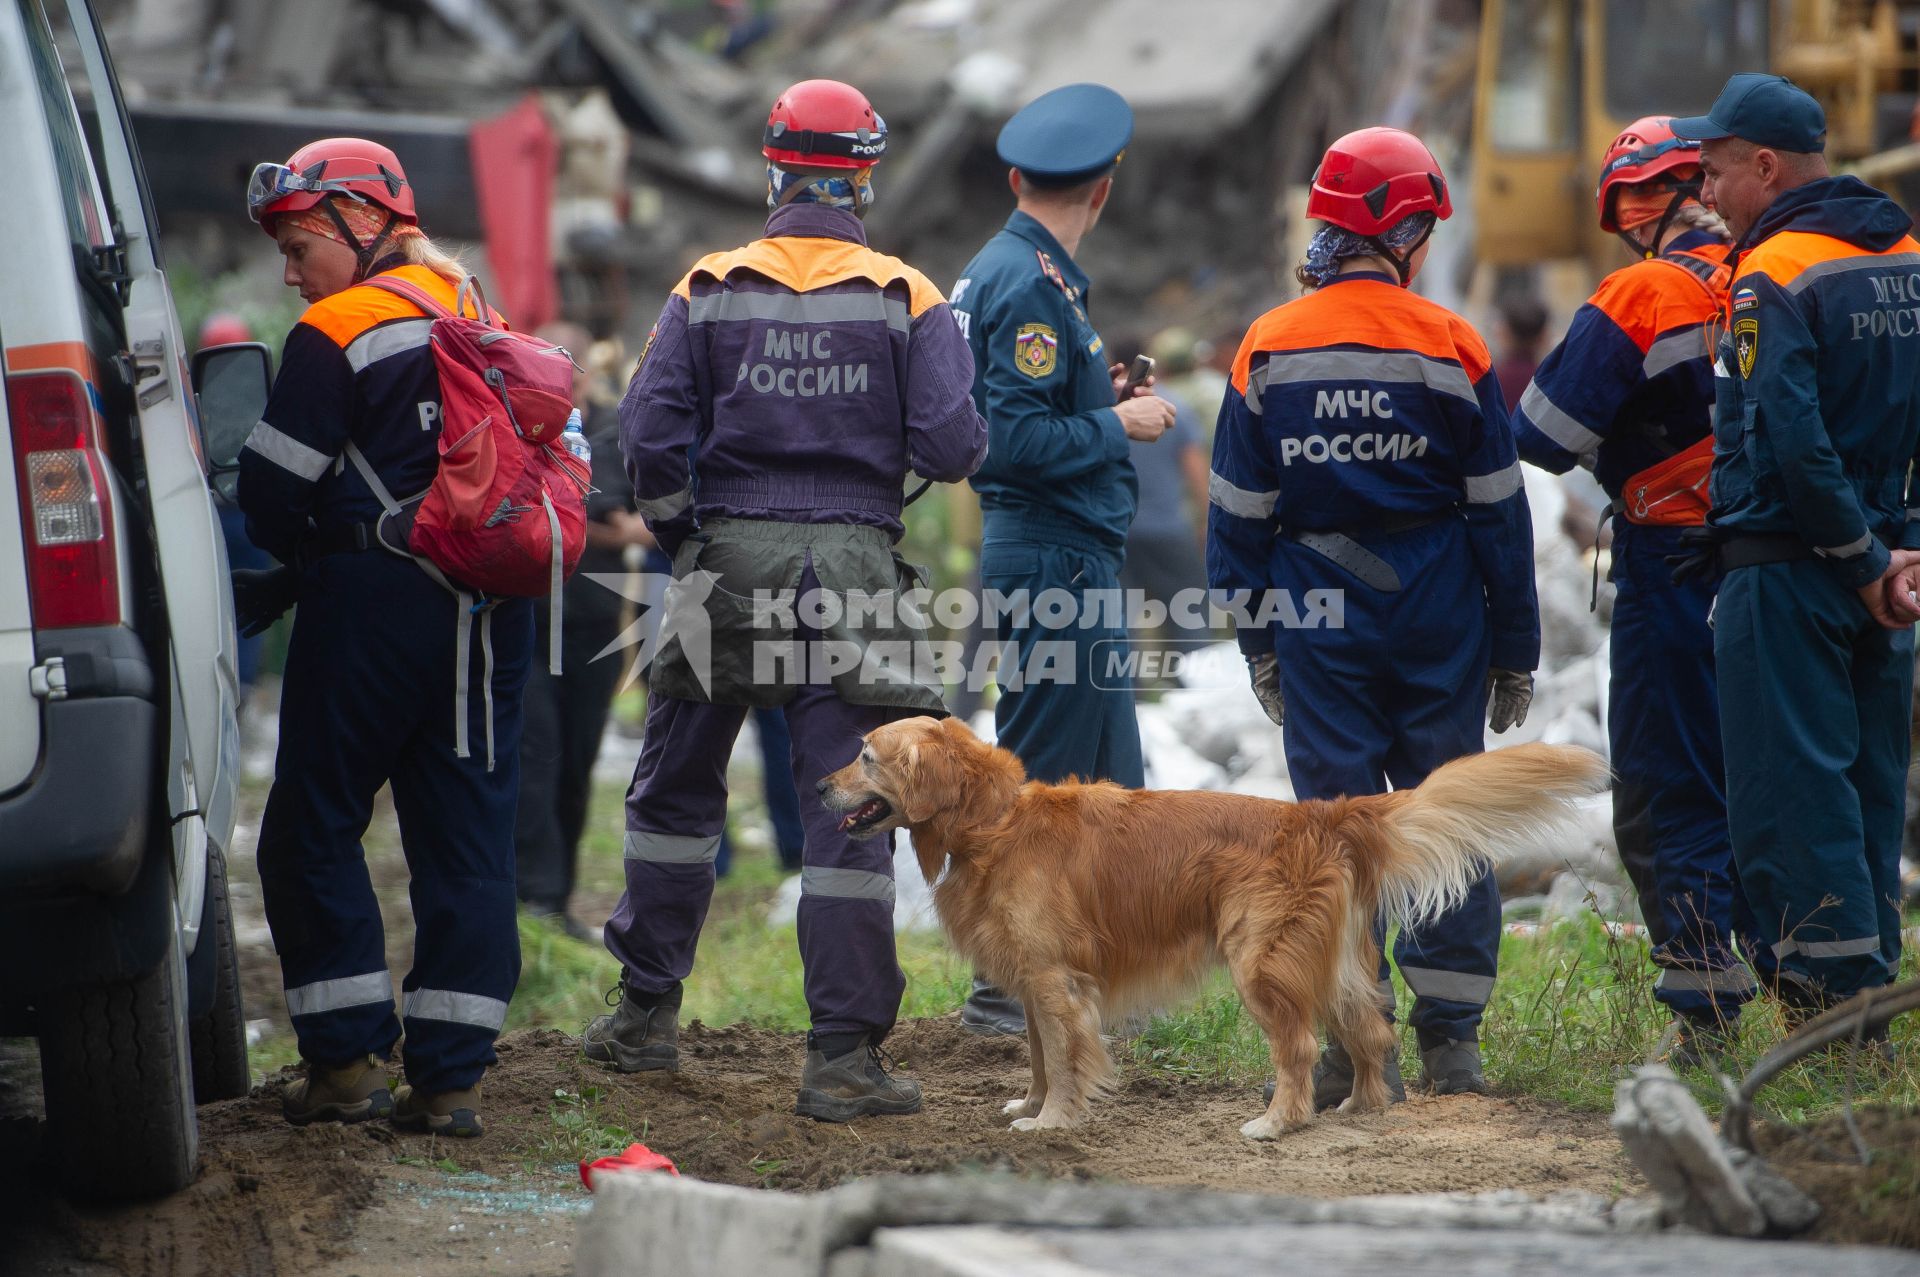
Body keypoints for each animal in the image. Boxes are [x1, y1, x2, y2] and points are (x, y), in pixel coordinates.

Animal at [817, 710, 1612, 1136]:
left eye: (865, 755)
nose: (820, 785)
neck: (994, 820)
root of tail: (1320, 814)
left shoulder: (1054, 981)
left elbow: (1066, 1058)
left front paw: (1053, 1122)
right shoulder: (1035, 985)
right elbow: (1040, 1057)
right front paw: (1032, 1104)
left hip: (1260, 964)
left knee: (1298, 1046)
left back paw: (1281, 1122)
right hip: (1333, 967)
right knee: (1371, 1032)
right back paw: (1359, 1106)